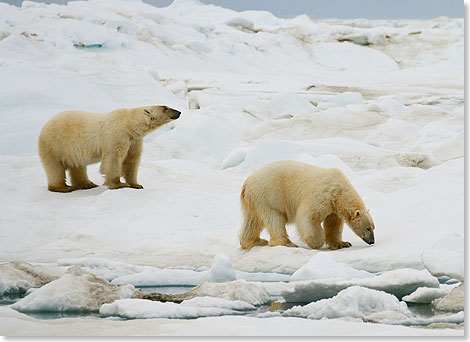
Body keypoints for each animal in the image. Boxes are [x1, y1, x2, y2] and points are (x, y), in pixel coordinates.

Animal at [37, 104, 181, 192]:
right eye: (165, 108)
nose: (179, 112)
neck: (128, 124)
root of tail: (44, 126)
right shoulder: (117, 135)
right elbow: (114, 159)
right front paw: (119, 184)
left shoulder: (134, 141)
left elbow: (132, 161)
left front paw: (136, 184)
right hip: (55, 144)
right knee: (54, 167)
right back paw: (62, 187)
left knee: (77, 165)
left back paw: (87, 184)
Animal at [239, 160, 374, 251]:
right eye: (368, 228)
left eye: (373, 227)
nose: (372, 241)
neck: (338, 190)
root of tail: (247, 182)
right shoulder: (322, 195)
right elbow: (308, 216)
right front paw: (316, 242)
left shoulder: (334, 207)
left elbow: (333, 224)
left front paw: (342, 243)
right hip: (268, 195)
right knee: (275, 218)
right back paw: (286, 243)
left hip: (255, 200)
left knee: (252, 221)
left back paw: (255, 241)